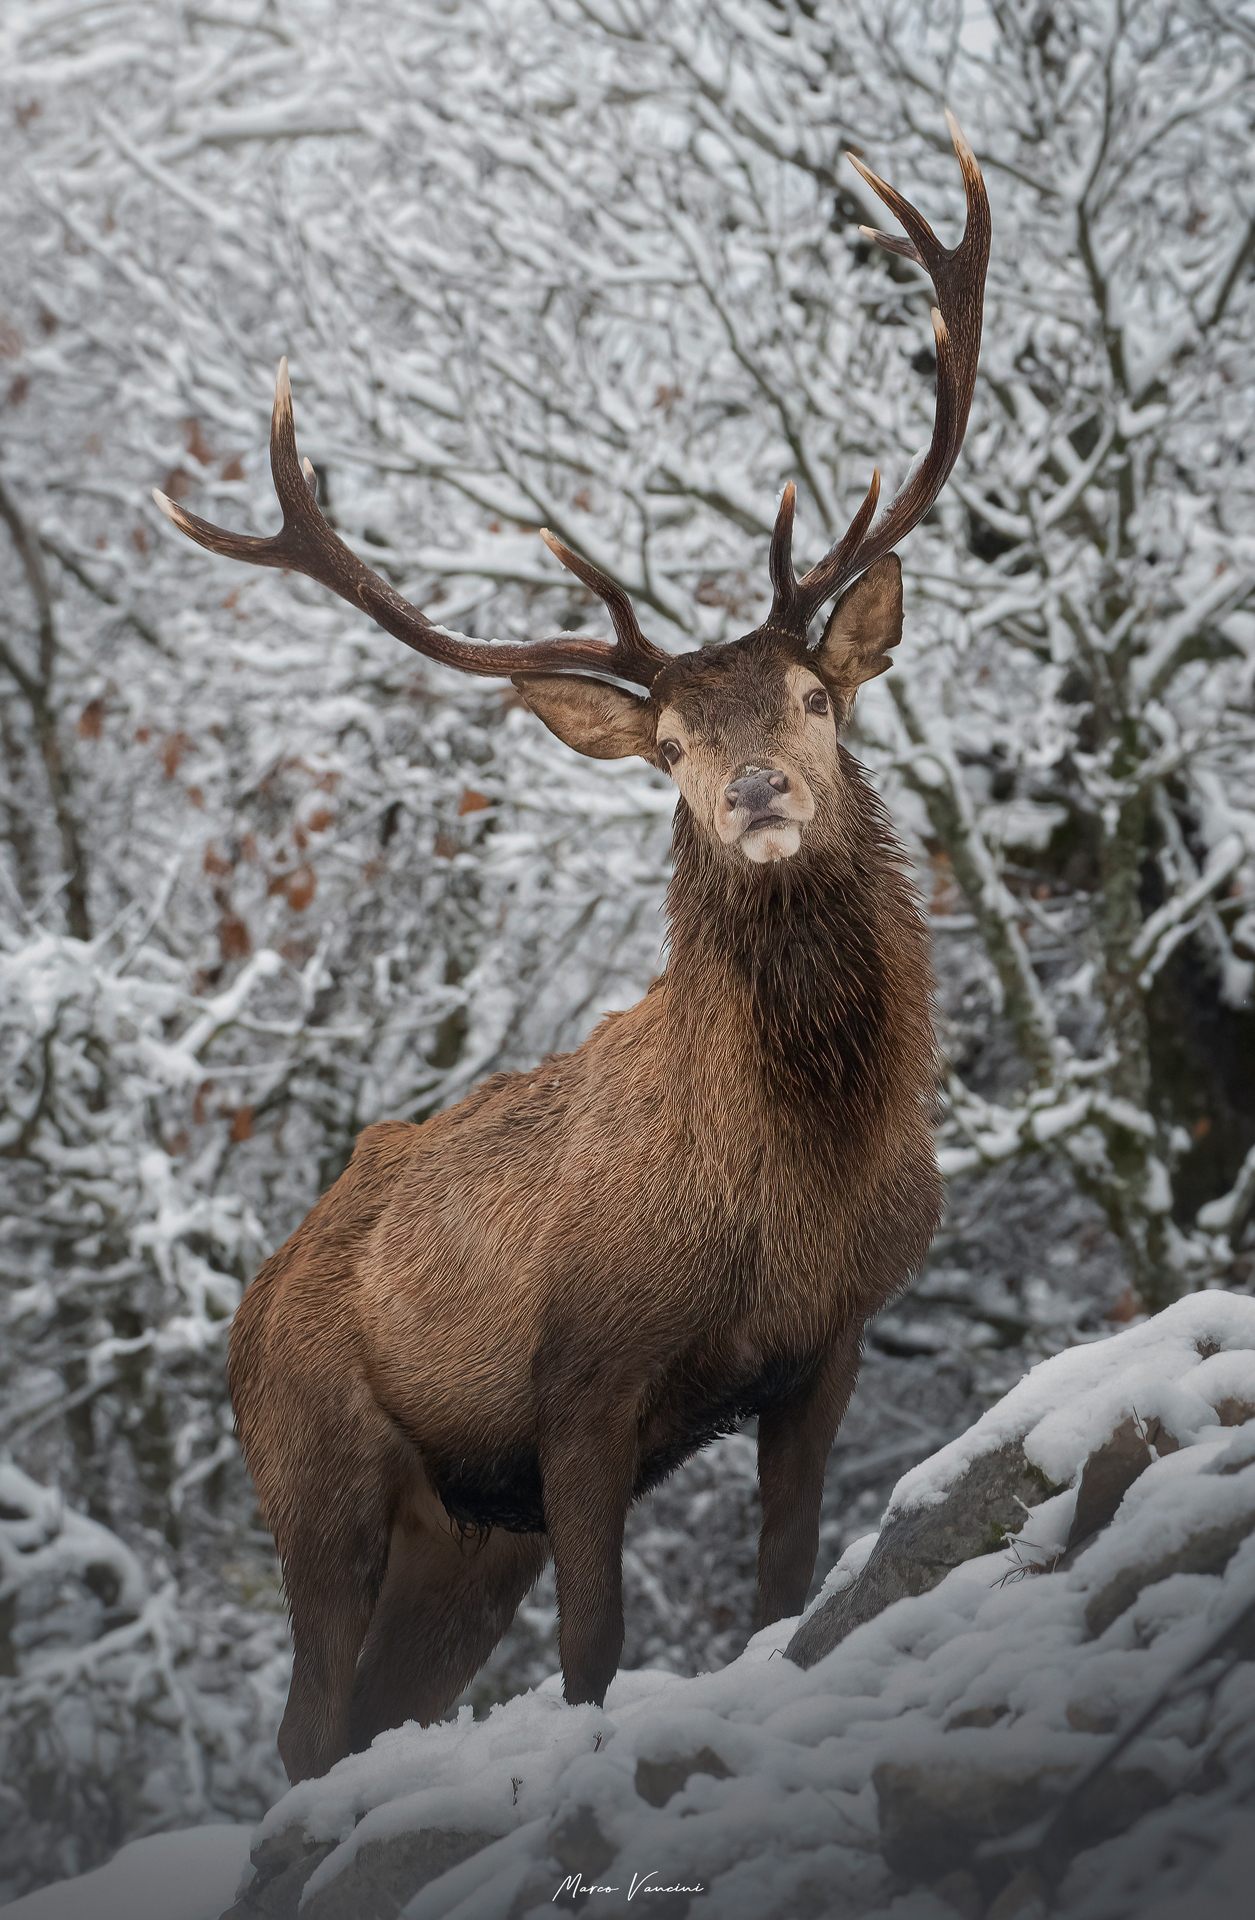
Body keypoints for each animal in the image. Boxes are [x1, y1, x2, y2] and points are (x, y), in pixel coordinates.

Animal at [154, 117, 988, 1784]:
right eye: (666, 743)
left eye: (815, 697)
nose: (752, 792)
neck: (790, 1186)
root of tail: (250, 1306)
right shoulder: (580, 1388)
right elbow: (597, 1653)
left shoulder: (830, 1342)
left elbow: (777, 1593)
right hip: (318, 1471)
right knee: (308, 1727)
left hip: (465, 1538)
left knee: (374, 1710)